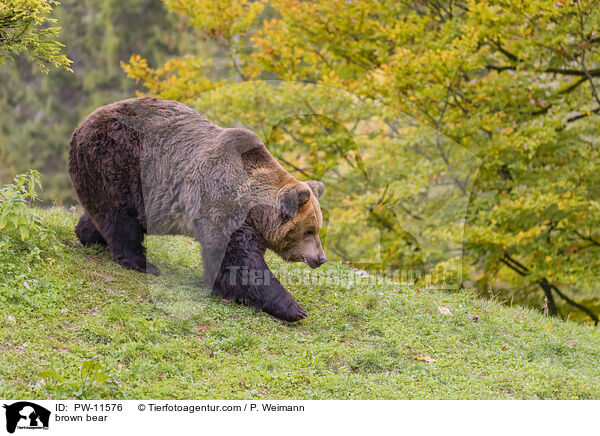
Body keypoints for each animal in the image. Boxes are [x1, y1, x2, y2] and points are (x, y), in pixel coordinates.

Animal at [68, 97, 326, 322]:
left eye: (317, 229)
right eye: (309, 230)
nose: (321, 258)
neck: (253, 207)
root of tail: (82, 124)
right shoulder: (221, 203)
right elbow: (240, 262)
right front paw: (294, 308)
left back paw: (89, 235)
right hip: (117, 161)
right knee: (119, 217)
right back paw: (142, 263)